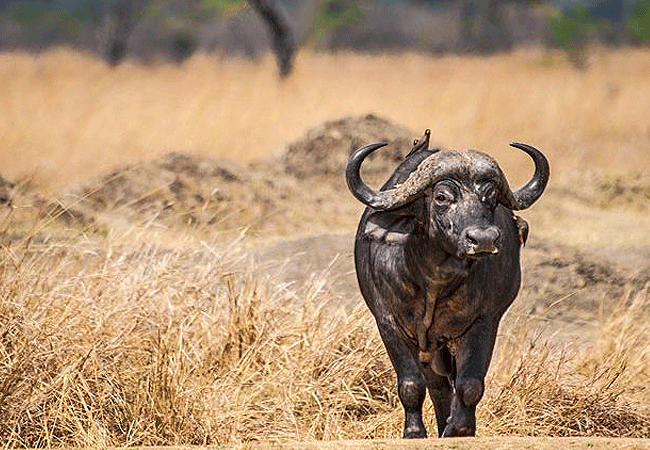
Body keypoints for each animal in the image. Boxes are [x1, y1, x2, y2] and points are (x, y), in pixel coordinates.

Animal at [344, 128, 548, 438]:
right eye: (441, 197)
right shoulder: (388, 321)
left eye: (490, 197)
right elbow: (410, 384)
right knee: (437, 387)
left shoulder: (483, 321)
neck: (434, 280)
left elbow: (470, 384)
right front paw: (414, 432)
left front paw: (459, 428)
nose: (484, 239)